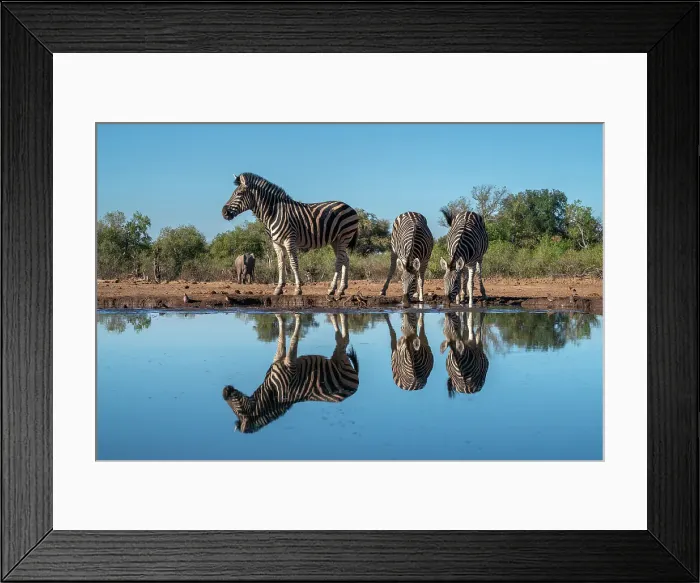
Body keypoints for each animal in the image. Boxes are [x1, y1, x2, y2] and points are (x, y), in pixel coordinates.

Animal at [222, 173, 360, 298]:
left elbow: (293, 263)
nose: (224, 212)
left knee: (339, 261)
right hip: (335, 240)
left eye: (239, 194)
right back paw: (341, 289)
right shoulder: (277, 243)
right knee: (346, 260)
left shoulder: (289, 240)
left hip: (343, 237)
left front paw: (298, 289)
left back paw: (332, 289)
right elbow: (280, 264)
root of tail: (350, 208)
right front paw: (278, 288)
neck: (274, 213)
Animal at [222, 313, 360, 433]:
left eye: (239, 411)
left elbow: (293, 340)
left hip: (341, 360)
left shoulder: (290, 363)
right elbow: (281, 339)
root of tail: (355, 387)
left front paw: (297, 316)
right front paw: (281, 317)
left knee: (344, 340)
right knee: (342, 339)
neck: (272, 392)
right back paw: (335, 315)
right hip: (338, 359)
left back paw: (337, 315)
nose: (224, 391)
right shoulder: (281, 358)